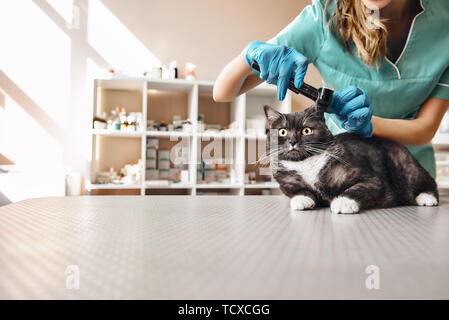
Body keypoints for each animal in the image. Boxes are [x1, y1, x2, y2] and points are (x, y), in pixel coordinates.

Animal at [262, 102, 438, 214]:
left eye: (306, 130)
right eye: (282, 131)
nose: (292, 141)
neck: (306, 163)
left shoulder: (372, 179)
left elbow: (357, 188)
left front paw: (343, 202)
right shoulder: (288, 183)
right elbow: (298, 191)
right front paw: (301, 199)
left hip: (404, 164)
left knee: (426, 180)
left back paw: (426, 197)